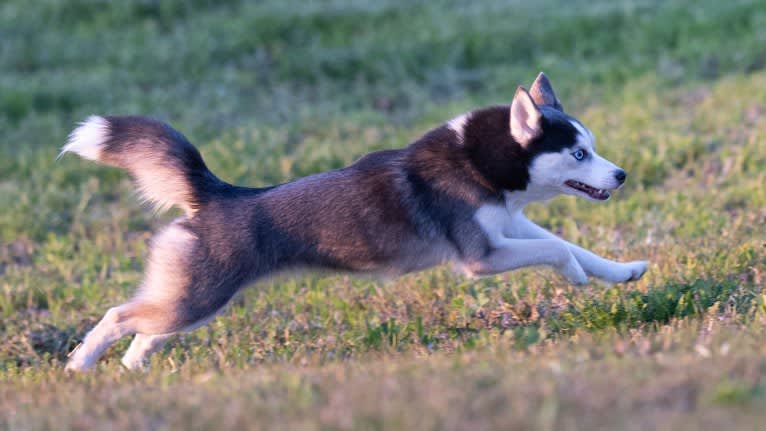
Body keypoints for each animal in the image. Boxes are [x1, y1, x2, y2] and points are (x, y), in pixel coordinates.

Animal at [61, 73, 648, 372]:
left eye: (591, 148)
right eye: (578, 154)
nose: (621, 175)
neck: (478, 160)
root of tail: (215, 194)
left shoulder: (508, 226)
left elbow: (570, 244)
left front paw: (622, 271)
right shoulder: (481, 257)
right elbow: (558, 251)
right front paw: (574, 276)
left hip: (191, 303)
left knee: (144, 335)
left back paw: (133, 375)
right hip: (196, 298)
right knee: (118, 316)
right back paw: (80, 364)